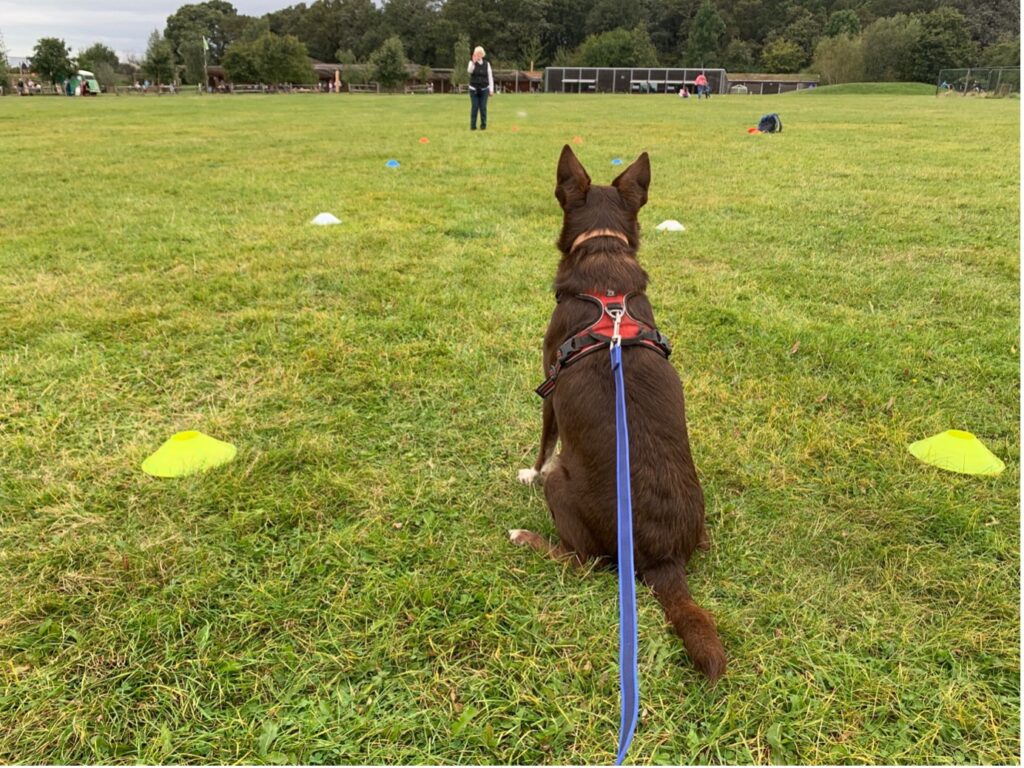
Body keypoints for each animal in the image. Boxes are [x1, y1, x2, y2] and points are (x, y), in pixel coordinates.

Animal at [512, 145, 729, 684]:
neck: (604, 263)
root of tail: (663, 557)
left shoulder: (549, 389)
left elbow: (544, 443)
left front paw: (527, 471)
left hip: (564, 489)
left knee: (583, 563)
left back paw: (526, 537)